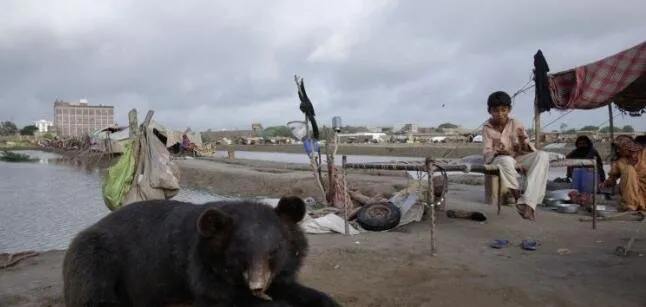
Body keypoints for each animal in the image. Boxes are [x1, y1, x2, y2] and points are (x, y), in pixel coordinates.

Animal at [63, 197, 342, 307]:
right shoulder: (199, 266)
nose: (257, 286)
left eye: (274, 250)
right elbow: (220, 296)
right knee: (93, 290)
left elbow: (292, 287)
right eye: (240, 253)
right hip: (95, 250)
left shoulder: (280, 272)